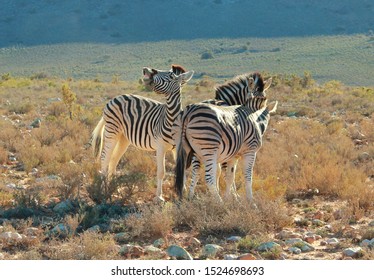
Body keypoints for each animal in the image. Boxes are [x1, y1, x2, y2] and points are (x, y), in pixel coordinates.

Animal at [92, 65, 194, 201]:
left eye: (171, 75)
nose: (146, 69)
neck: (171, 119)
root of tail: (115, 98)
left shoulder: (178, 148)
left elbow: (182, 171)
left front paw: (184, 193)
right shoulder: (160, 147)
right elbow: (161, 172)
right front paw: (159, 197)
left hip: (123, 137)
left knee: (114, 159)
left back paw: (114, 190)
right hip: (112, 131)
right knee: (105, 158)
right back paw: (103, 190)